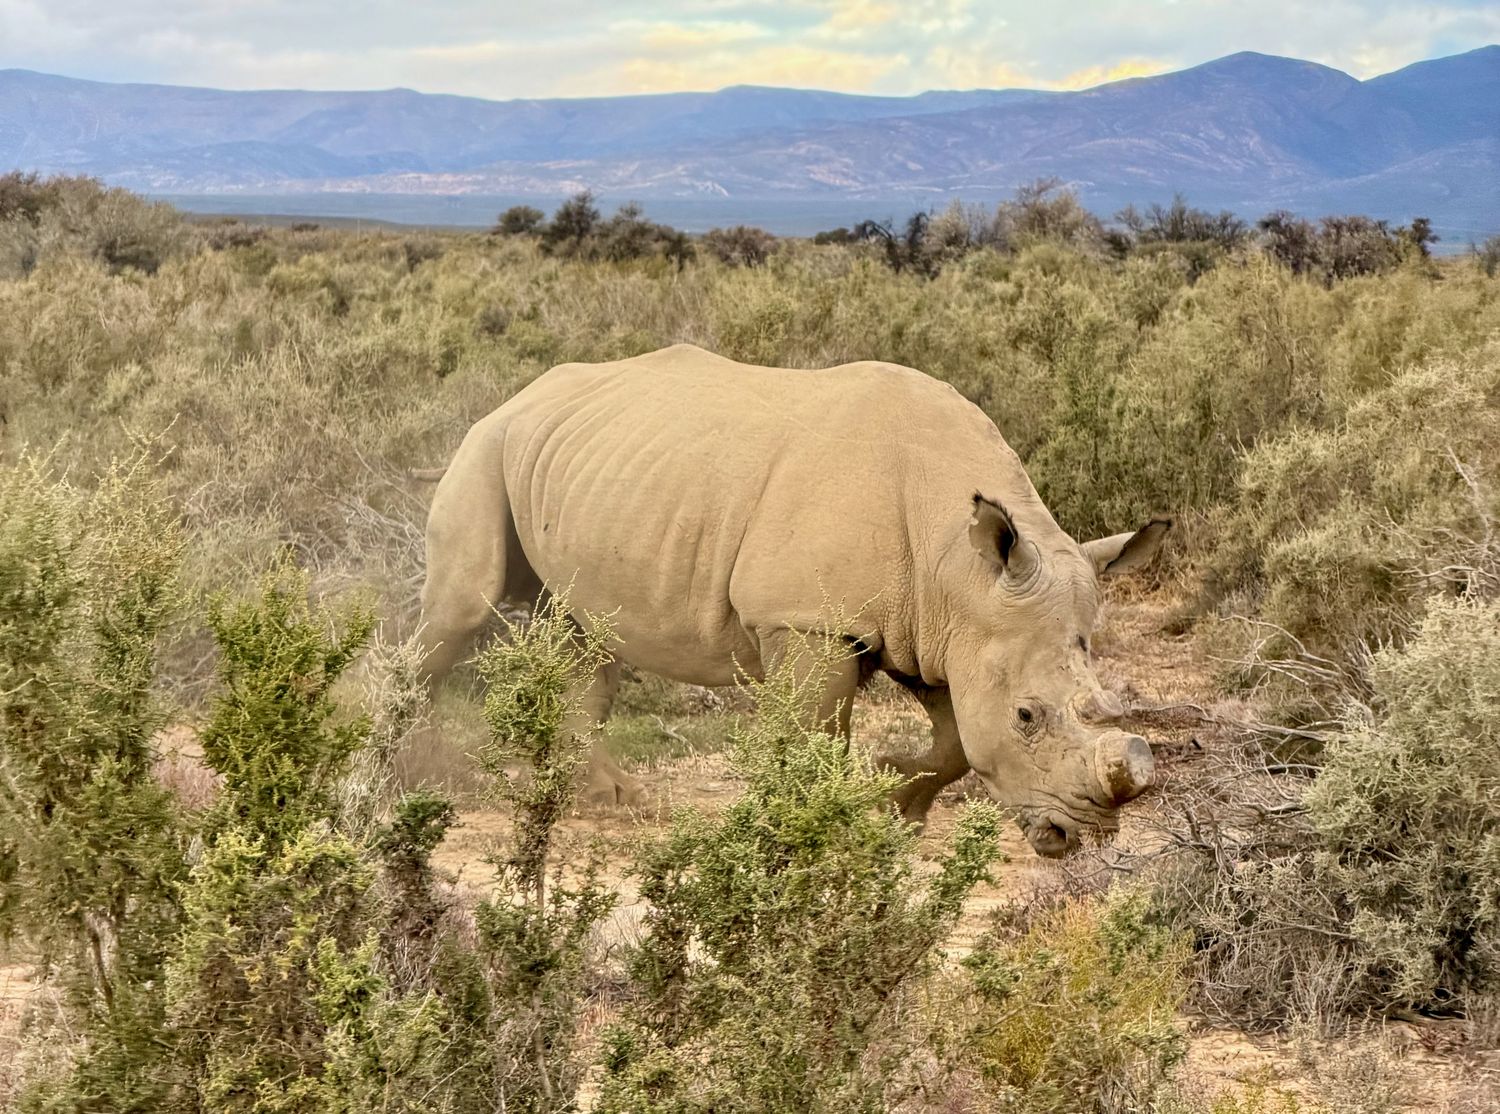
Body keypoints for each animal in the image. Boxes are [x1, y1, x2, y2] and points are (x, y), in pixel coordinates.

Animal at [417, 344, 1168, 857]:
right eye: (1027, 717)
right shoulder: (813, 622)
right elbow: (816, 732)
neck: (960, 566)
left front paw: (895, 802)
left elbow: (955, 739)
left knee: (584, 633)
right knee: (463, 609)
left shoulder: (937, 628)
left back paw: (609, 799)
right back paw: (421, 777)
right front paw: (815, 825)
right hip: (487, 444)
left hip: (585, 468)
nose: (1079, 837)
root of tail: (524, 392)